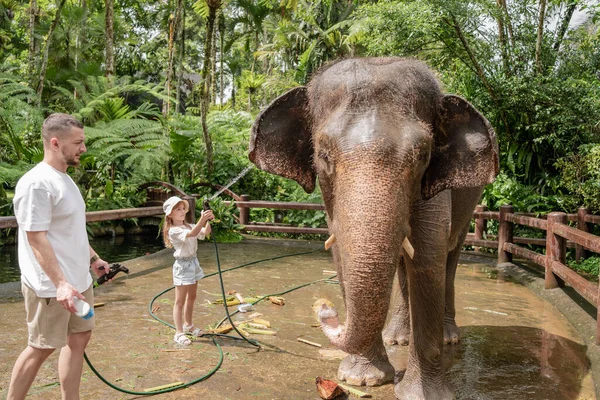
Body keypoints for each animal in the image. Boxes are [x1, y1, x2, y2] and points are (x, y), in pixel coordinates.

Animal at [246, 57, 500, 400]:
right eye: (323, 156)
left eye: (422, 156)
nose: (324, 309)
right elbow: (343, 255)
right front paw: (362, 380)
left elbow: (428, 260)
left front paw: (422, 396)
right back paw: (397, 339)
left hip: (471, 202)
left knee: (449, 257)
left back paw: (448, 338)